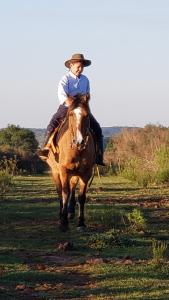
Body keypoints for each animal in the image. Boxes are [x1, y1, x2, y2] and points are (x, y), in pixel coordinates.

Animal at [46, 95, 95, 231]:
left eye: (87, 115)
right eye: (71, 114)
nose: (79, 141)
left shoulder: (86, 173)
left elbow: (81, 197)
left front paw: (81, 223)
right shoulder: (63, 171)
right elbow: (65, 193)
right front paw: (63, 222)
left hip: (74, 174)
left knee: (72, 188)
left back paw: (70, 212)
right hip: (55, 172)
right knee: (60, 192)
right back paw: (61, 215)